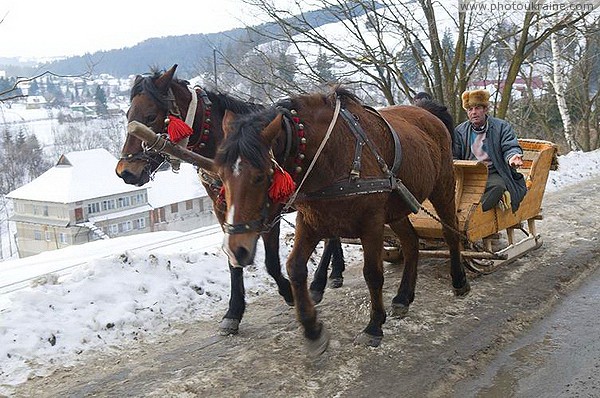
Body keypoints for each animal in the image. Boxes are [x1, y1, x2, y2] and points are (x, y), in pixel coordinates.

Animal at [115, 65, 344, 336]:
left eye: (150, 116)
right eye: (128, 114)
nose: (125, 171)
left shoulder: (269, 211)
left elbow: (271, 262)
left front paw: (288, 291)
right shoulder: (224, 210)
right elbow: (233, 258)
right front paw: (233, 312)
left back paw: (319, 281)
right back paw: (335, 271)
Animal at [205, 88, 468, 354]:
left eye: (260, 176)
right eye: (221, 175)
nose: (236, 248)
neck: (328, 153)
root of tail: (427, 112)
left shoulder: (372, 222)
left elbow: (372, 273)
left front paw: (374, 326)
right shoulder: (310, 220)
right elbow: (295, 267)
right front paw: (311, 327)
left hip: (443, 187)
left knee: (451, 232)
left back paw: (459, 280)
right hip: (397, 207)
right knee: (411, 242)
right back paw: (403, 297)